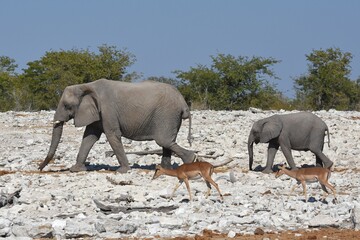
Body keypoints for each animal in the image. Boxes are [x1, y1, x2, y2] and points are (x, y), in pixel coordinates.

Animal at [38, 79, 195, 173]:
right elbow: (90, 137)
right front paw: (76, 169)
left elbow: (112, 135)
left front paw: (122, 171)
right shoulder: (97, 113)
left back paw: (190, 160)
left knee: (163, 141)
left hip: (167, 115)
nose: (39, 168)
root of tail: (183, 102)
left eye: (67, 106)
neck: (86, 86)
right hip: (170, 116)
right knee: (166, 142)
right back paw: (165, 168)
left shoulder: (108, 111)